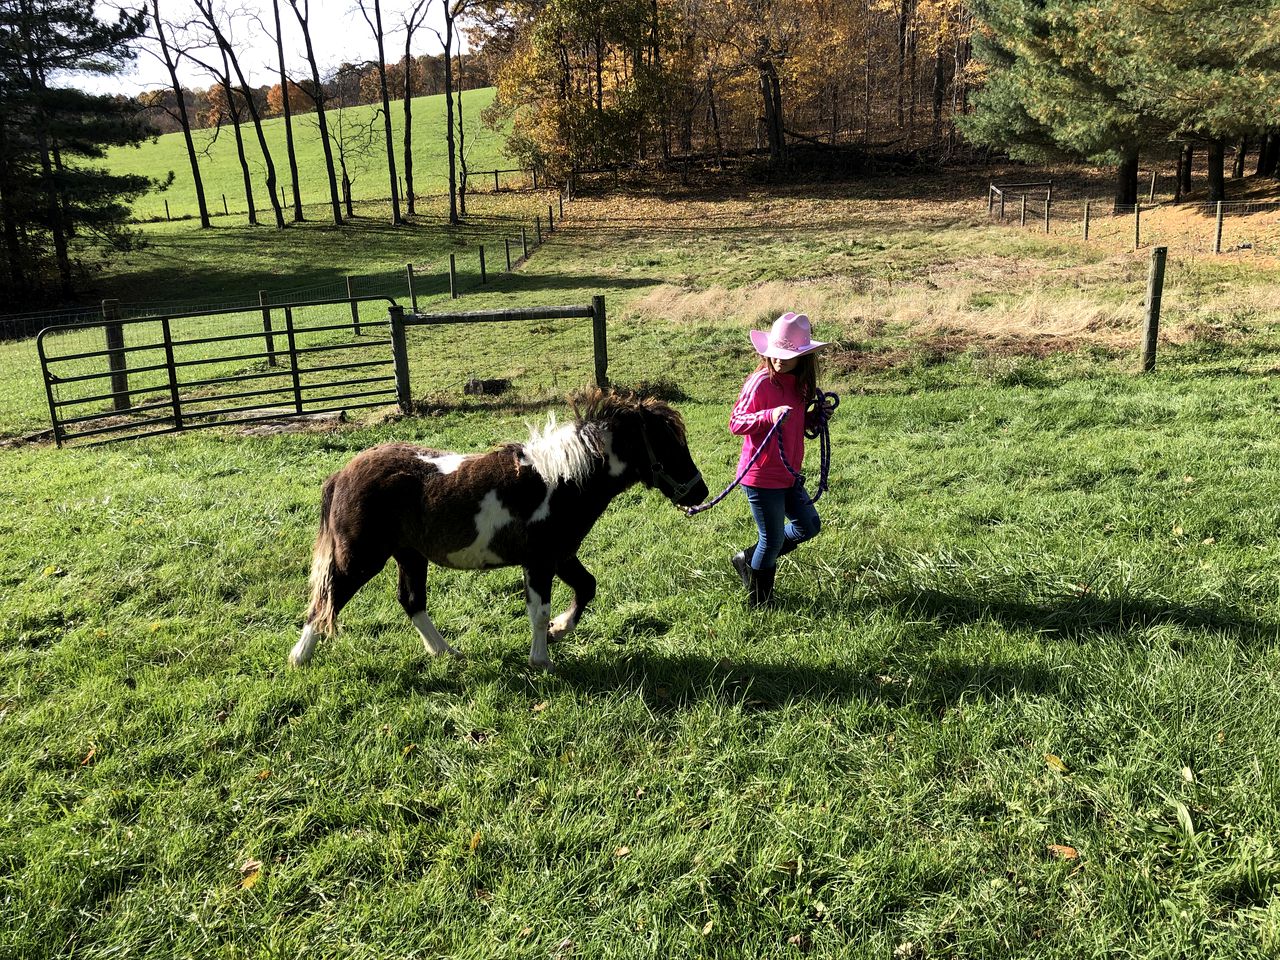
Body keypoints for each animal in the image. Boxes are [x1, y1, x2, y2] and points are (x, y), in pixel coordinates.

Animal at [290, 386, 711, 670]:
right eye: (669, 445)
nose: (700, 491)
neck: (561, 481)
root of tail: (341, 475)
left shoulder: (560, 556)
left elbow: (586, 588)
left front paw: (559, 630)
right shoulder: (540, 562)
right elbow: (538, 611)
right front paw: (542, 658)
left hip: (410, 555)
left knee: (411, 602)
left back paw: (447, 651)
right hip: (362, 558)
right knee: (327, 598)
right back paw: (300, 656)